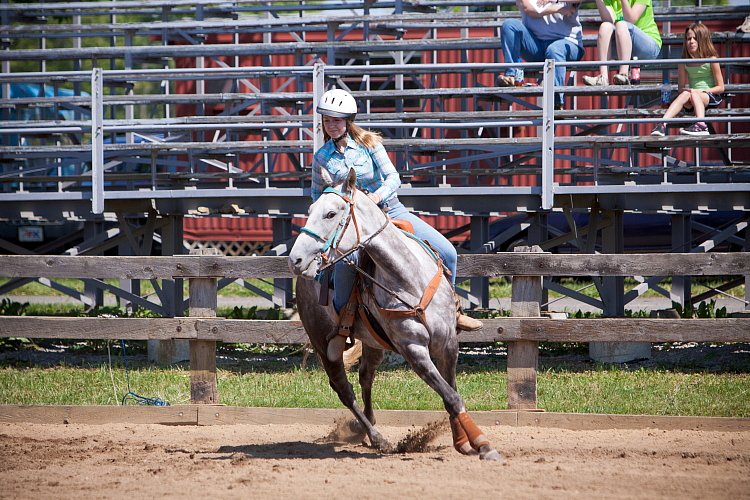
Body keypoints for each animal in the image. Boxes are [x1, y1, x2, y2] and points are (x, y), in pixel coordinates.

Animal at [288, 168, 506, 460]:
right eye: (311, 209)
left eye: (331, 214)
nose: (295, 259)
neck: (407, 277)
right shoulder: (413, 348)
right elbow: (450, 396)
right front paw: (483, 445)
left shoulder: (447, 342)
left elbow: (451, 391)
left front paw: (462, 441)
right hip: (323, 344)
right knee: (343, 389)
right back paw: (376, 437)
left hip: (372, 342)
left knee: (365, 375)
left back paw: (367, 426)